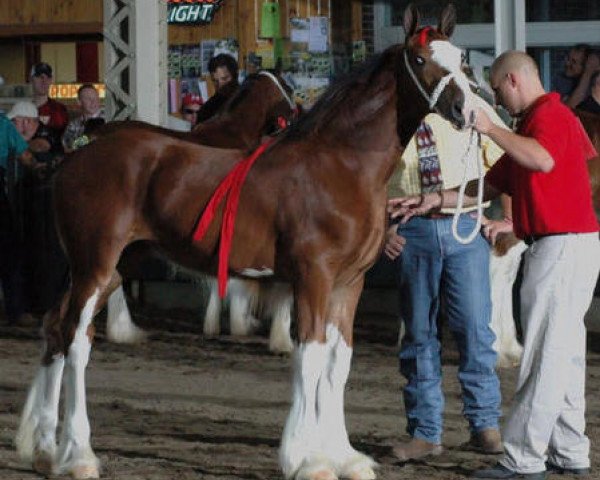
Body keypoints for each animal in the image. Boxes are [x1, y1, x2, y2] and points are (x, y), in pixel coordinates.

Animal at [15, 4, 478, 480]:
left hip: (113, 267)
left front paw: (347, 456)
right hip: (96, 263)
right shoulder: (314, 277)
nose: (465, 109)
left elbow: (339, 363)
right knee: (76, 339)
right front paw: (307, 459)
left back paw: (45, 452)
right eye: (420, 60)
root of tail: (76, 156)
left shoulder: (350, 284)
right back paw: (79, 456)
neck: (340, 165)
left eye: (460, 57)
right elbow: (310, 357)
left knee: (57, 327)